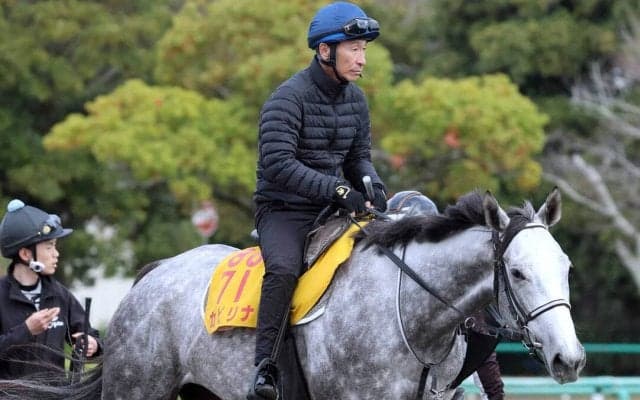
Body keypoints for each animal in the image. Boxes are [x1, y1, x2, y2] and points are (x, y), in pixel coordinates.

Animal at [0, 188, 586, 399]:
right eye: (518, 272)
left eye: (564, 268)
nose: (571, 359)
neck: (410, 314)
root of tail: (152, 276)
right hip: (137, 391)